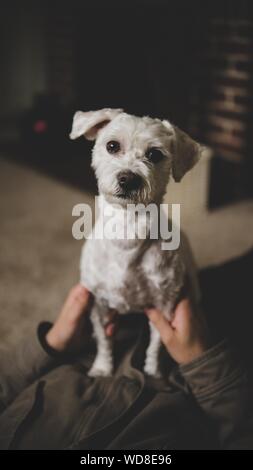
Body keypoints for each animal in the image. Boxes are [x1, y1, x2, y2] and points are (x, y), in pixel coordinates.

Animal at [69, 108, 202, 376]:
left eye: (155, 154)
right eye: (112, 145)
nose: (128, 178)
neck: (127, 229)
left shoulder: (164, 306)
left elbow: (157, 343)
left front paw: (153, 371)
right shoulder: (100, 304)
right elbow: (104, 340)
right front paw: (102, 368)